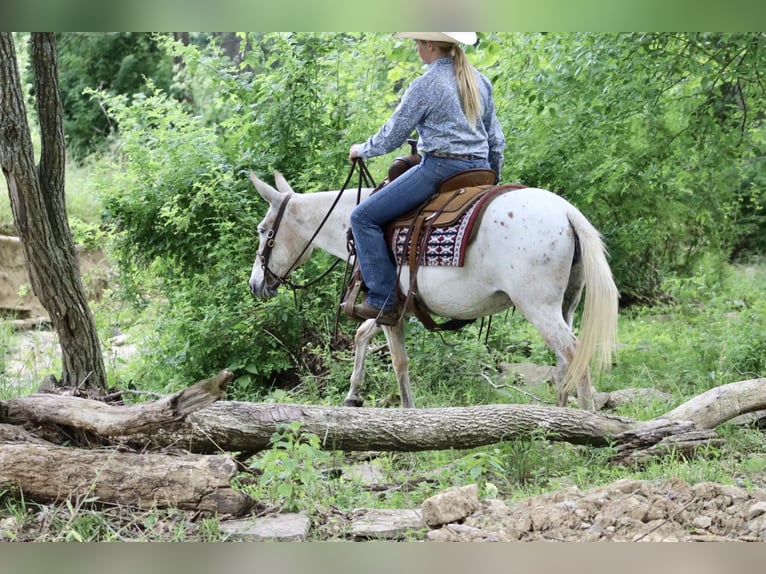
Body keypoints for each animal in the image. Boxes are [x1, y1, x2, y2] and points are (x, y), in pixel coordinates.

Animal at [249, 172, 620, 414]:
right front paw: (354, 394)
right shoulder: (391, 307)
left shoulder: (387, 309)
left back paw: (586, 421)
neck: (350, 224)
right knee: (564, 360)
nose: (255, 284)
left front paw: (408, 413)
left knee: (574, 353)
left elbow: (398, 361)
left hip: (538, 307)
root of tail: (567, 212)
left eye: (264, 231)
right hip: (565, 305)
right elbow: (361, 334)